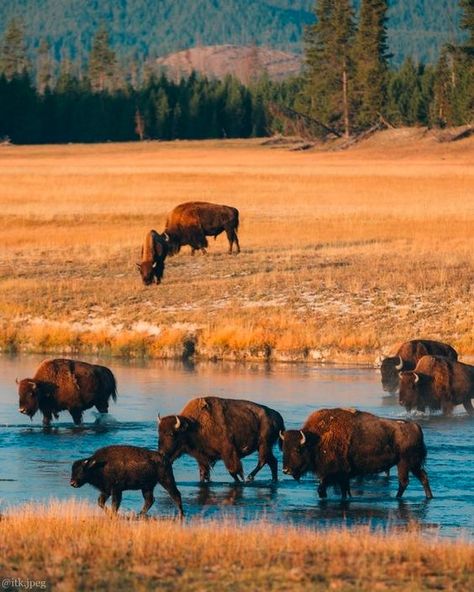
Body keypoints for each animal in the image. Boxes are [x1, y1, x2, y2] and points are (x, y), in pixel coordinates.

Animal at [280, 408, 432, 500]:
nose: (286, 470)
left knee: (404, 482)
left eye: (297, 449)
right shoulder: (339, 476)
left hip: (404, 464)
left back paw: (397, 497)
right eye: (284, 449)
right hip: (413, 465)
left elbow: (325, 489)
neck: (317, 439)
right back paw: (429, 496)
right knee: (423, 477)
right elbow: (338, 490)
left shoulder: (335, 474)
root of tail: (416, 427)